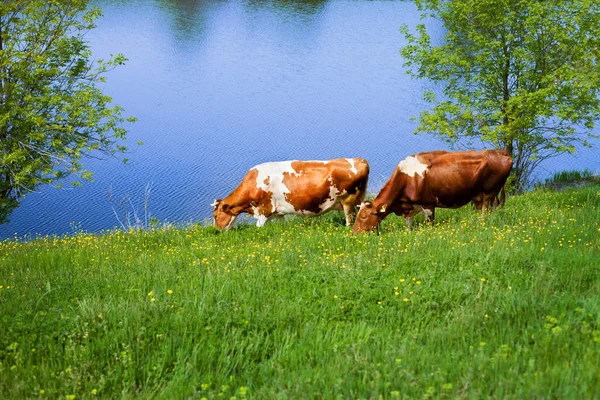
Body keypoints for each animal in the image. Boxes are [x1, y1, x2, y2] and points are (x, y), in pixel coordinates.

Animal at [211, 158, 370, 230]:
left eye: (216, 215)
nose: (217, 230)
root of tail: (360, 160)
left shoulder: (264, 209)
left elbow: (259, 227)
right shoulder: (278, 213)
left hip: (347, 201)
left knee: (349, 219)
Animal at [354, 148, 512, 233]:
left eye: (364, 216)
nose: (355, 232)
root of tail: (502, 153)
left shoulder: (428, 204)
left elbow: (429, 225)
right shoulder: (409, 209)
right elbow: (408, 227)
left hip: (489, 193)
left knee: (485, 213)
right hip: (482, 196)